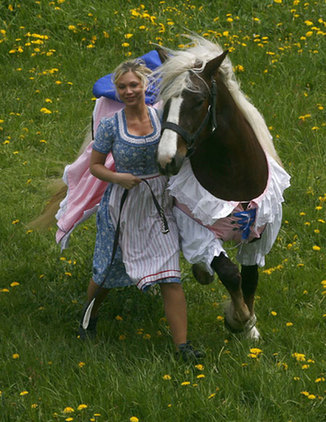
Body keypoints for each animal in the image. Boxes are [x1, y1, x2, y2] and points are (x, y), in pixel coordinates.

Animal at [155, 36, 290, 340]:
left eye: (199, 101)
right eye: (164, 102)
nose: (167, 160)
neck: (234, 176)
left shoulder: (259, 232)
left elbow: (250, 276)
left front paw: (250, 327)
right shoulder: (196, 228)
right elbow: (228, 271)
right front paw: (238, 319)